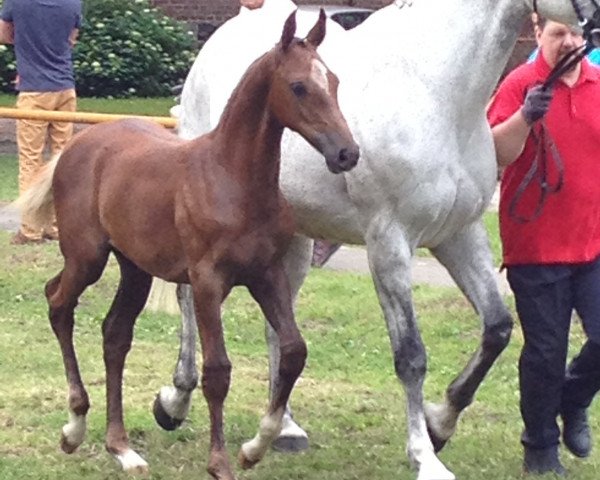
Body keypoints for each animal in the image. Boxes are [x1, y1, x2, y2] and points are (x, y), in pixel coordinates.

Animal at [17, 11, 356, 480]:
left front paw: (255, 448)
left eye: (335, 82)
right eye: (298, 86)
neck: (234, 179)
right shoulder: (208, 281)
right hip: (87, 257)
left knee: (114, 334)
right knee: (57, 302)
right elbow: (217, 371)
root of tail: (79, 143)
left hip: (135, 267)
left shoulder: (266, 275)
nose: (346, 153)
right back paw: (74, 427)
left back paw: (122, 448)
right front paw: (220, 463)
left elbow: (293, 351)